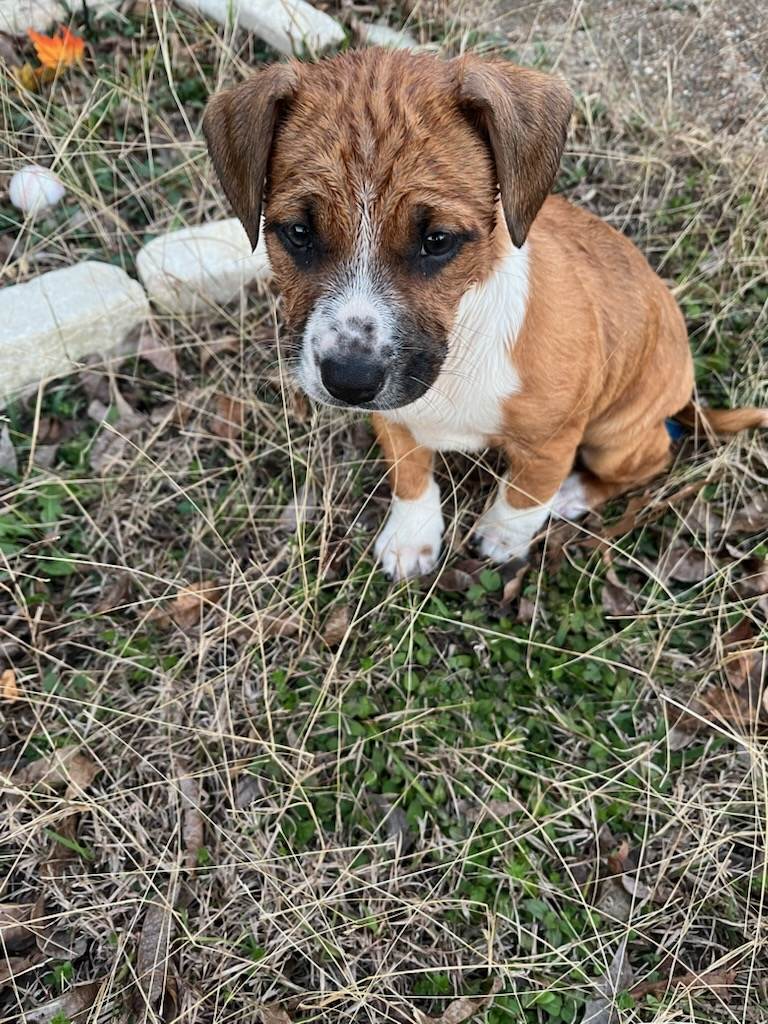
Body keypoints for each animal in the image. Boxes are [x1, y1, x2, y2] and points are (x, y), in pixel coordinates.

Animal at [203, 49, 766, 579]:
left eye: (438, 240)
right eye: (298, 233)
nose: (349, 382)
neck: (462, 343)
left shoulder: (551, 444)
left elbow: (524, 497)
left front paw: (503, 538)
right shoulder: (395, 417)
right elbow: (411, 476)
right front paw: (412, 536)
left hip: (615, 436)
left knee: (651, 459)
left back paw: (575, 494)